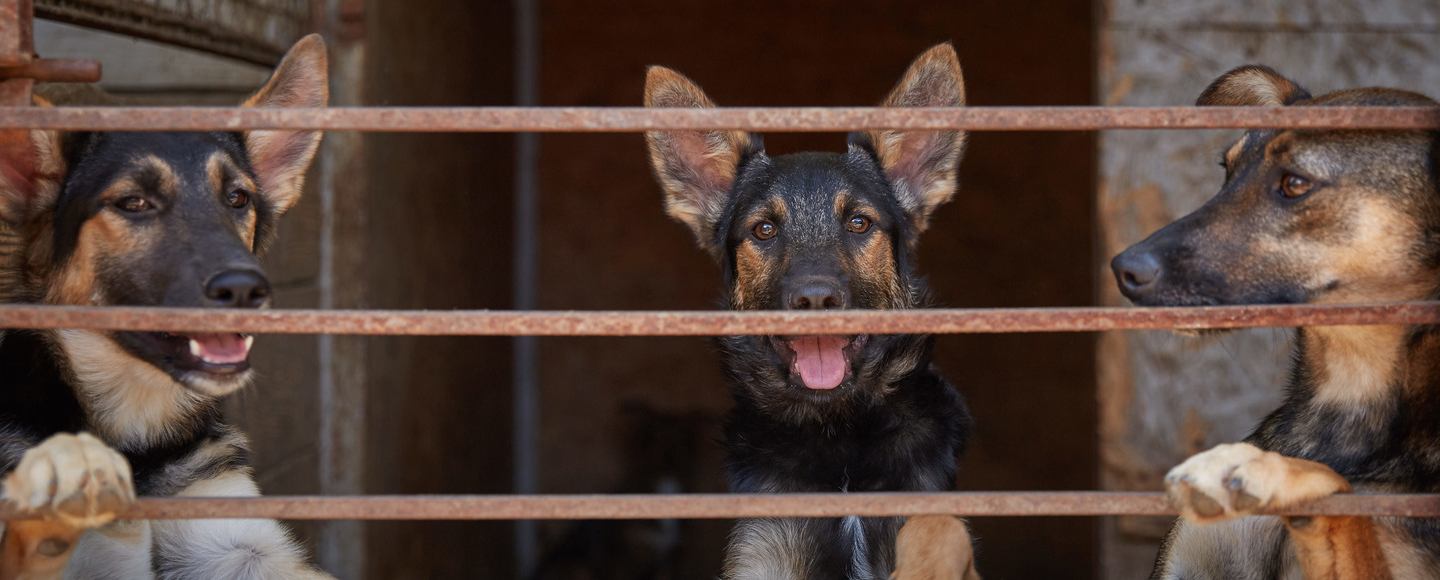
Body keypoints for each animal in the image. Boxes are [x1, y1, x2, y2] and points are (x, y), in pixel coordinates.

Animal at [0, 37, 331, 580]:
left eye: (238, 198)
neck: (138, 438)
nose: (247, 289)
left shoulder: (242, 544)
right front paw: (65, 470)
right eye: (133, 203)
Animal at [648, 43, 973, 578]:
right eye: (763, 230)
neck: (838, 440)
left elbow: (941, 526)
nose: (816, 299)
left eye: (860, 223)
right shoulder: (761, 554)